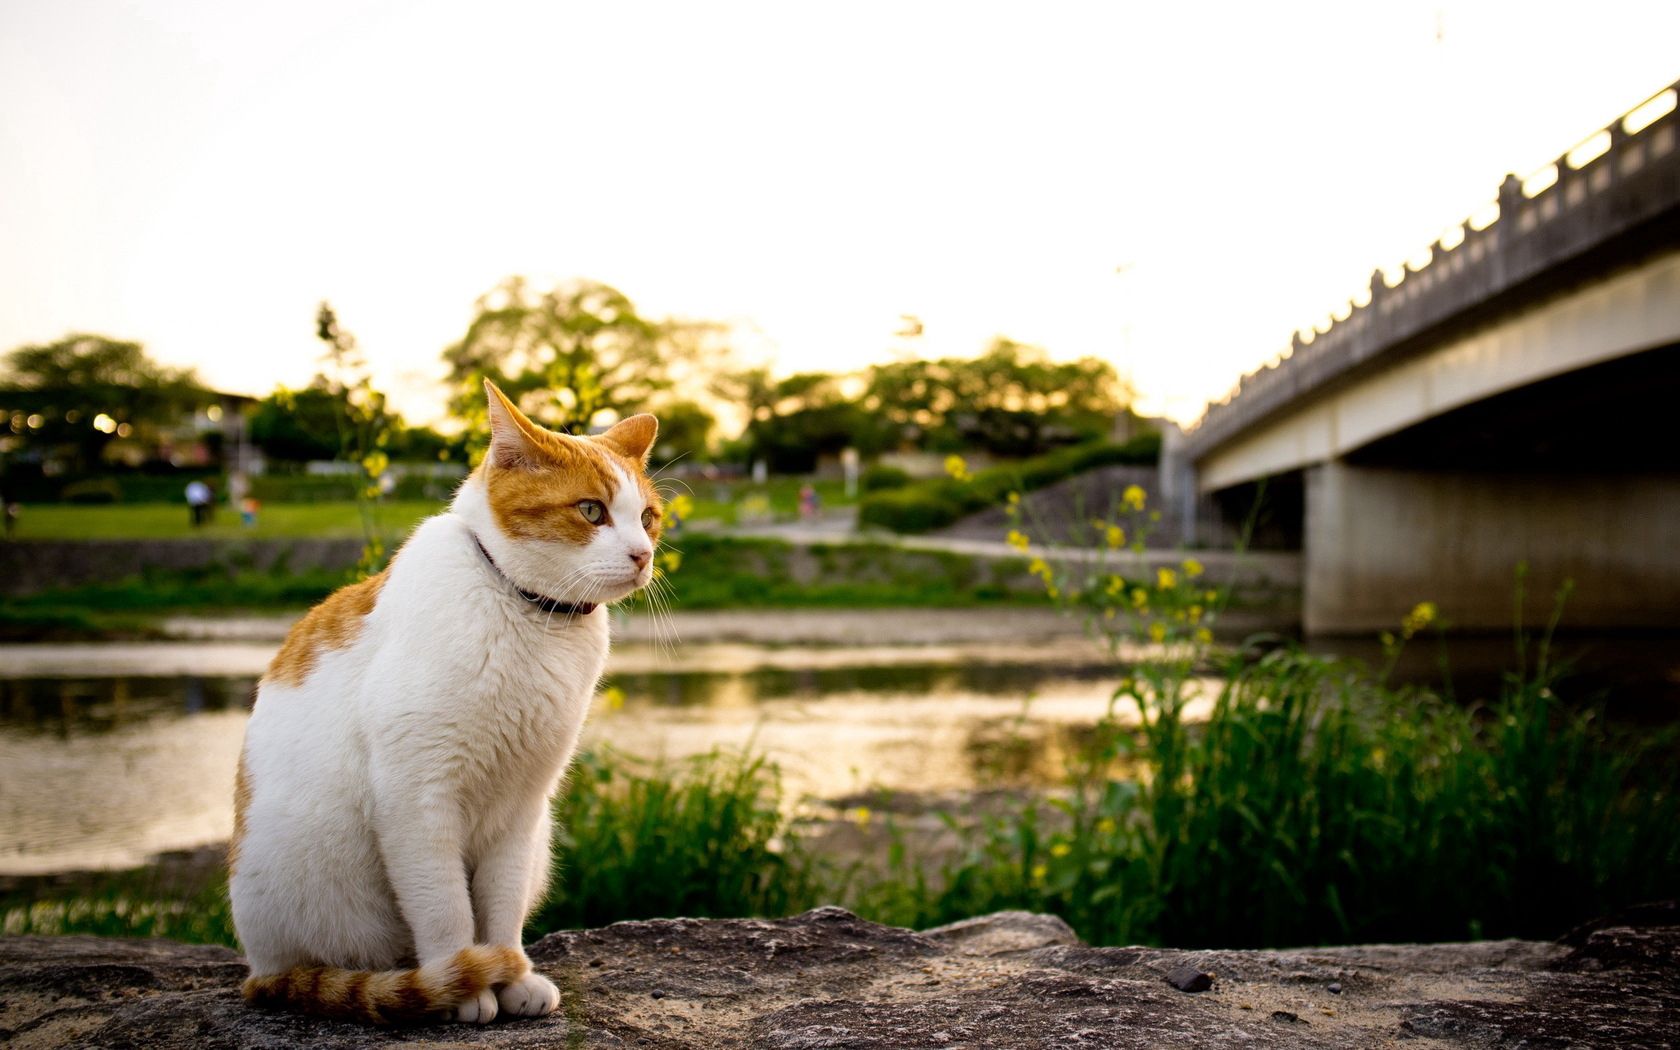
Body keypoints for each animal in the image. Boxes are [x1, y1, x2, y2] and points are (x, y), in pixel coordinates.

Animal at [226, 381, 658, 1021]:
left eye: (648, 517)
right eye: (590, 511)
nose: (642, 554)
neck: (527, 614)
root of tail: (260, 968)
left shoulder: (523, 803)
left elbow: (501, 902)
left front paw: (509, 974)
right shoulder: (418, 799)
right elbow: (444, 906)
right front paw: (465, 982)